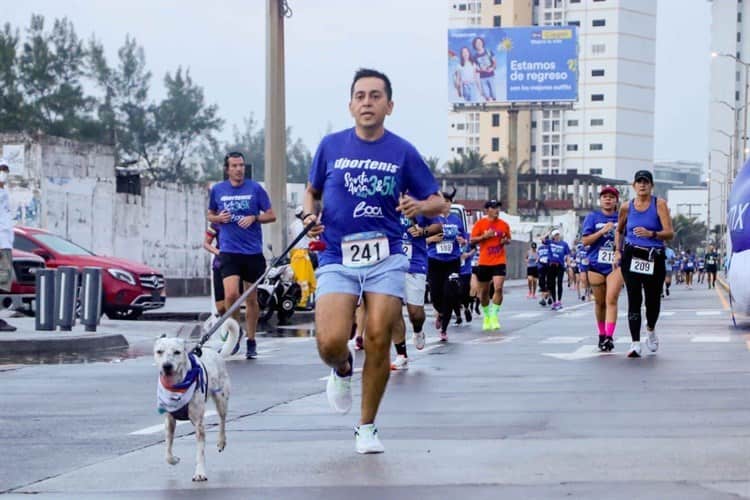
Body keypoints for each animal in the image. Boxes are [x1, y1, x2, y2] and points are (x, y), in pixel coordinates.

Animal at [154, 334, 231, 482]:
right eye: (159, 351)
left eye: (177, 352)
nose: (167, 366)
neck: (177, 387)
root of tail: (216, 353)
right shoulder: (169, 421)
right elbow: (167, 451)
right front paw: (174, 459)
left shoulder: (199, 424)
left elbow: (200, 452)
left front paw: (200, 473)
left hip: (221, 399)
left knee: (222, 420)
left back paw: (221, 441)